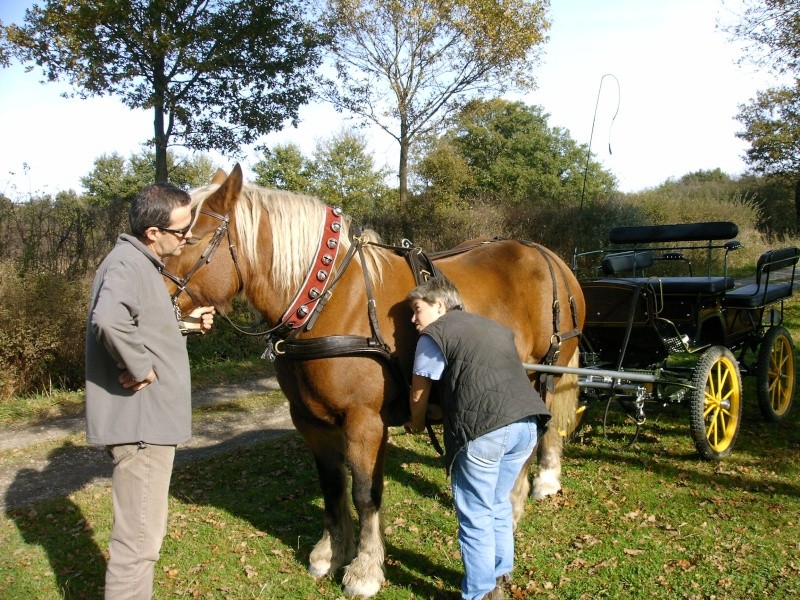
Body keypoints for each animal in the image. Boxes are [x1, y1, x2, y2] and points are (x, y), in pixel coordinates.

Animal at [164, 164, 588, 596]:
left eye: (189, 240)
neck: (327, 302)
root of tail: (548, 256)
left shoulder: (364, 421)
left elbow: (365, 493)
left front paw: (365, 568)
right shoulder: (309, 419)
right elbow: (333, 485)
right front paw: (331, 552)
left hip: (543, 372)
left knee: (537, 434)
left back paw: (526, 495)